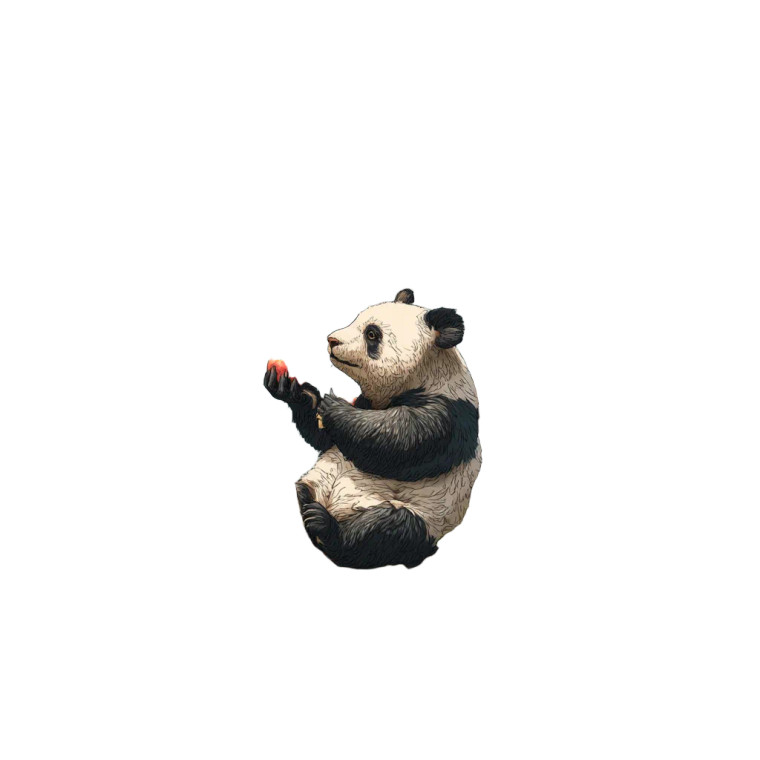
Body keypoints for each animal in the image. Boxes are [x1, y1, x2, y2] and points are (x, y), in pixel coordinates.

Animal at [264, 288, 481, 569]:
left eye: (372, 334)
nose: (332, 340)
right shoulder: (366, 402)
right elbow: (326, 439)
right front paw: (294, 391)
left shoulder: (449, 414)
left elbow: (399, 443)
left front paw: (334, 406)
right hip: (315, 482)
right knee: (306, 491)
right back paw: (310, 508)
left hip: (424, 515)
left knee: (387, 531)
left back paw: (326, 527)